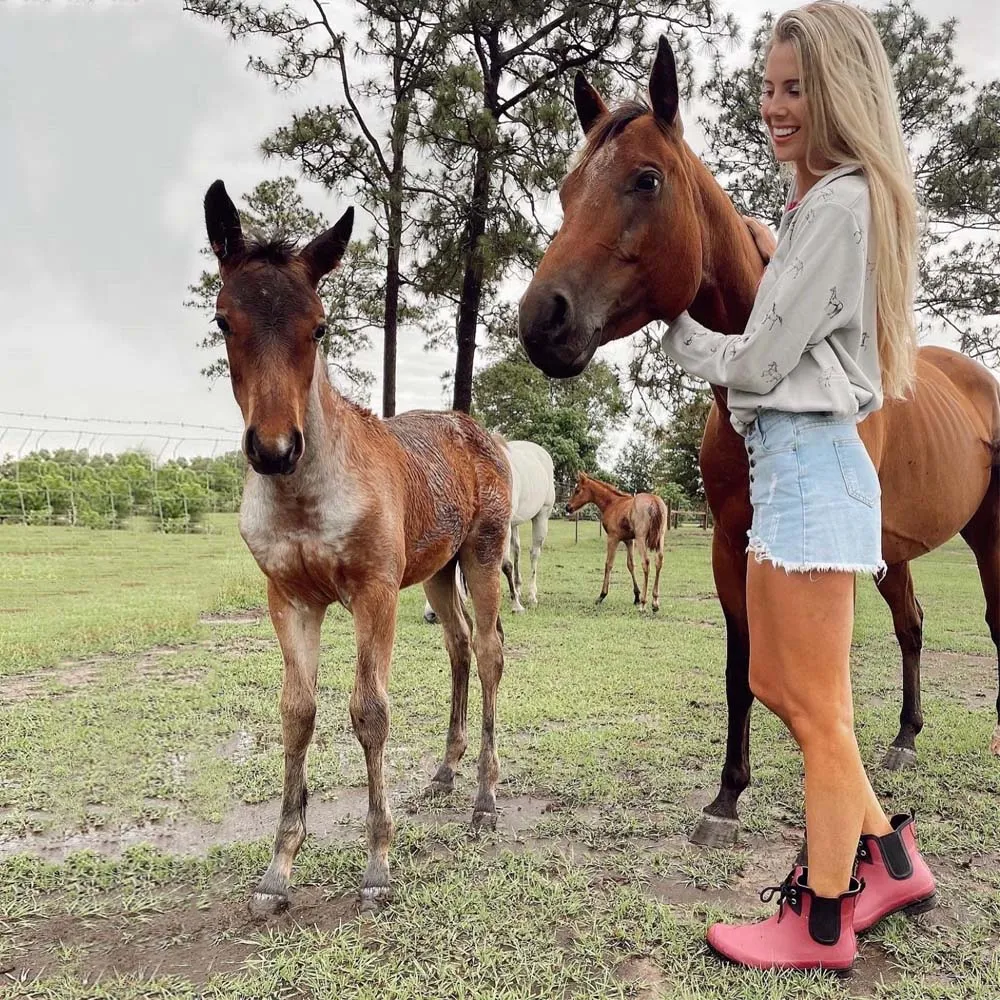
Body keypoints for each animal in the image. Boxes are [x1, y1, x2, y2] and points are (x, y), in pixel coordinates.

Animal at [206, 180, 512, 916]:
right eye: (223, 321)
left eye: (319, 326)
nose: (275, 449)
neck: (307, 496)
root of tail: (477, 432)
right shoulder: (290, 599)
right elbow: (297, 714)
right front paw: (278, 870)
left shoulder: (374, 592)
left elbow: (369, 712)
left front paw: (377, 865)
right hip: (437, 572)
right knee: (460, 647)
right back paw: (445, 771)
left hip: (482, 557)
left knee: (490, 654)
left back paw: (485, 798)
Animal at [424, 440, 560, 620]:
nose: (431, 615)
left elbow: (505, 565)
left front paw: (516, 606)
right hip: (515, 524)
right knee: (517, 550)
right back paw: (518, 588)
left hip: (542, 515)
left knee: (534, 554)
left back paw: (532, 596)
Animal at [568, 474, 668, 612]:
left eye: (577, 490)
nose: (567, 507)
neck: (612, 503)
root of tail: (655, 502)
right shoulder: (629, 540)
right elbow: (630, 565)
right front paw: (636, 596)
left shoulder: (613, 538)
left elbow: (608, 564)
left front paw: (602, 595)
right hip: (660, 537)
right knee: (659, 561)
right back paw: (655, 602)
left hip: (641, 538)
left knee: (646, 563)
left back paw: (643, 603)